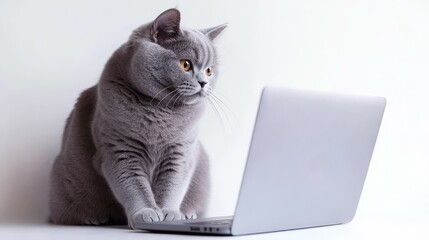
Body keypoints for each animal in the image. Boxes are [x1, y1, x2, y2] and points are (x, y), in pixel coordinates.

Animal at [48, 7, 226, 229]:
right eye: (185, 65)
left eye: (210, 70)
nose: (204, 82)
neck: (160, 110)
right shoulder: (120, 151)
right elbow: (134, 187)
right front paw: (146, 213)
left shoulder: (180, 153)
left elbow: (172, 185)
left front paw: (169, 213)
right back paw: (93, 218)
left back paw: (189, 214)